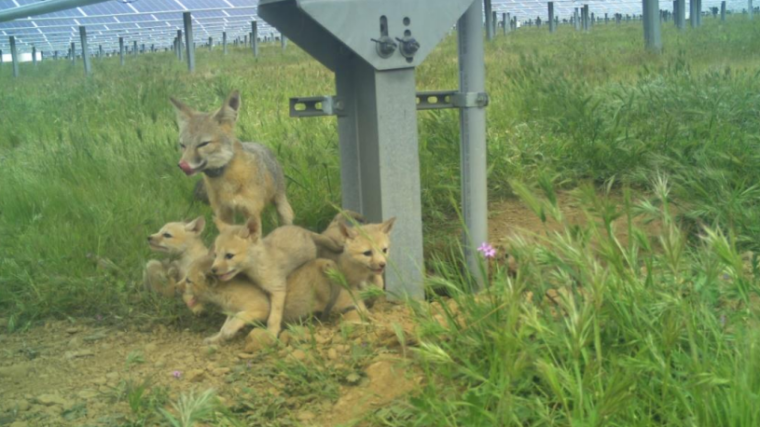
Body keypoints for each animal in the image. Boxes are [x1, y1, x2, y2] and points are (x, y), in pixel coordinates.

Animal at [170, 90, 294, 232]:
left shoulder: (251, 212)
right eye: (182, 145)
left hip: (282, 207)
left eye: (203, 144)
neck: (227, 183)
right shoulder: (223, 213)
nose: (182, 165)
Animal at [181, 255, 348, 344]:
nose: (178, 287)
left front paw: (229, 332)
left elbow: (239, 317)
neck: (222, 293)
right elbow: (223, 327)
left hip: (336, 301)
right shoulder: (231, 312)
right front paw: (215, 339)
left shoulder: (261, 307)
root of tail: (322, 261)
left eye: (188, 280)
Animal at [210, 218, 343, 337]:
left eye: (229, 255)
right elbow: (234, 313)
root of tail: (303, 229)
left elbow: (273, 317)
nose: (213, 270)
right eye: (215, 255)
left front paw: (272, 332)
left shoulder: (277, 289)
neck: (257, 267)